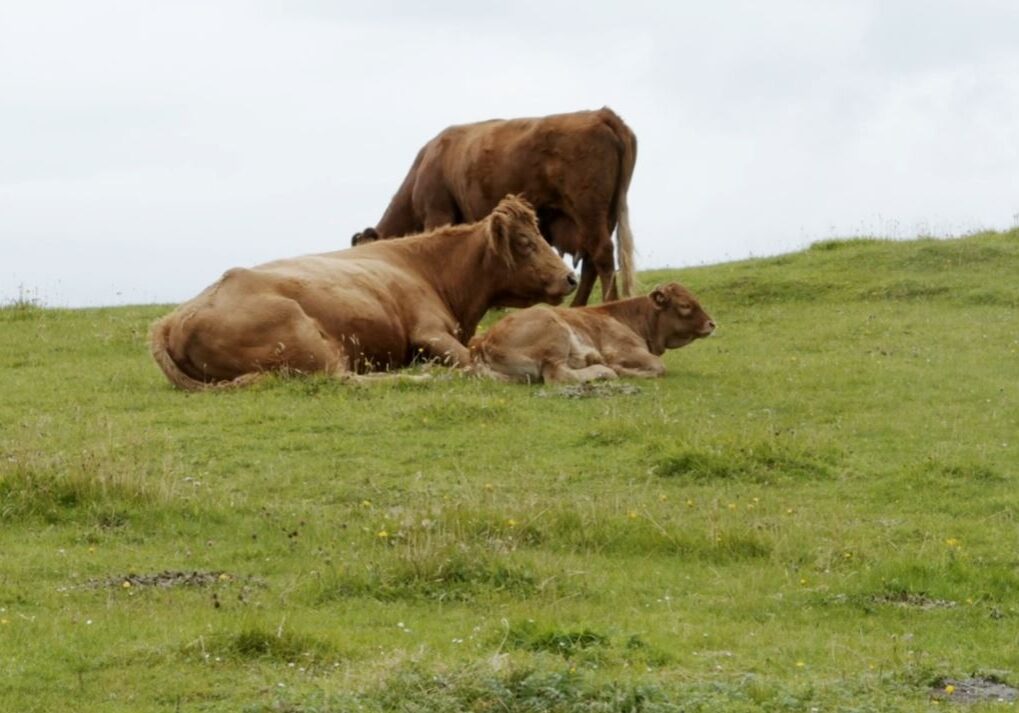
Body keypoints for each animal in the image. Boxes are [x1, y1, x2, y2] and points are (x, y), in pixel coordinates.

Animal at [149, 195, 577, 390]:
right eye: (525, 242)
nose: (570, 278)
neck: (430, 268)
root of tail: (170, 322)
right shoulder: (429, 331)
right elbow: (469, 360)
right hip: (311, 343)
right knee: (347, 379)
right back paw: (419, 375)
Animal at [351, 107, 638, 307]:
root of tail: (601, 114)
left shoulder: (437, 213)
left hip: (588, 210)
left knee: (601, 254)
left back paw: (608, 303)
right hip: (604, 216)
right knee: (591, 261)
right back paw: (578, 307)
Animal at [469, 282, 714, 384]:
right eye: (685, 305)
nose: (712, 324)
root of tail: (483, 340)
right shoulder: (624, 350)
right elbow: (659, 367)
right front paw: (622, 370)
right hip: (555, 333)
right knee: (559, 376)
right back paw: (602, 370)